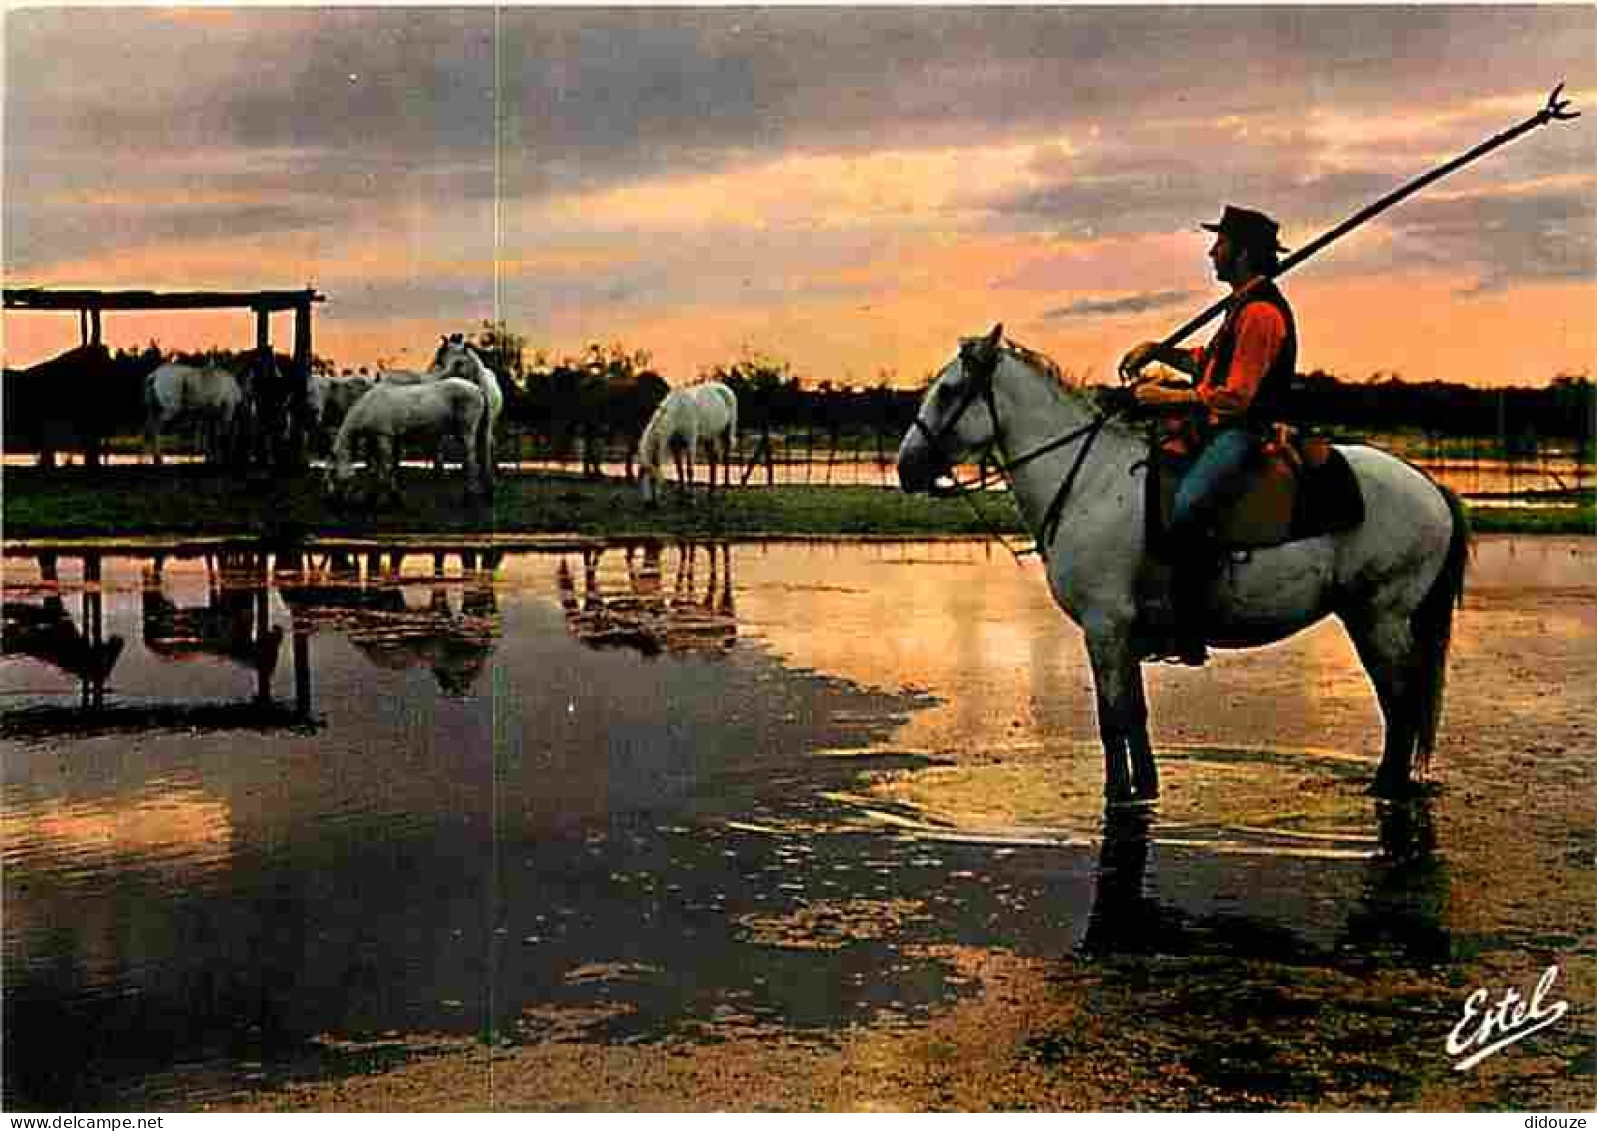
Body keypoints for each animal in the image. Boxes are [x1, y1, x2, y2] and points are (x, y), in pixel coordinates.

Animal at [327, 377, 488, 501]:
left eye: (333, 476)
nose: (333, 499)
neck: (367, 408)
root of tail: (477, 388)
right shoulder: (387, 439)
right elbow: (387, 466)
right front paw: (391, 493)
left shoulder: (384, 436)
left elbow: (385, 467)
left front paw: (385, 497)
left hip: (466, 431)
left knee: (471, 458)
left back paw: (469, 494)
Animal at [894, 324, 1462, 805]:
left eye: (948, 391)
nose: (905, 467)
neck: (1087, 482)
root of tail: (1431, 486)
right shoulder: (1120, 634)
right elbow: (1134, 716)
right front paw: (1145, 788)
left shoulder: (1104, 627)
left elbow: (1112, 719)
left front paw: (1118, 795)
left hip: (1379, 617)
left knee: (1402, 700)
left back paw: (1387, 788)